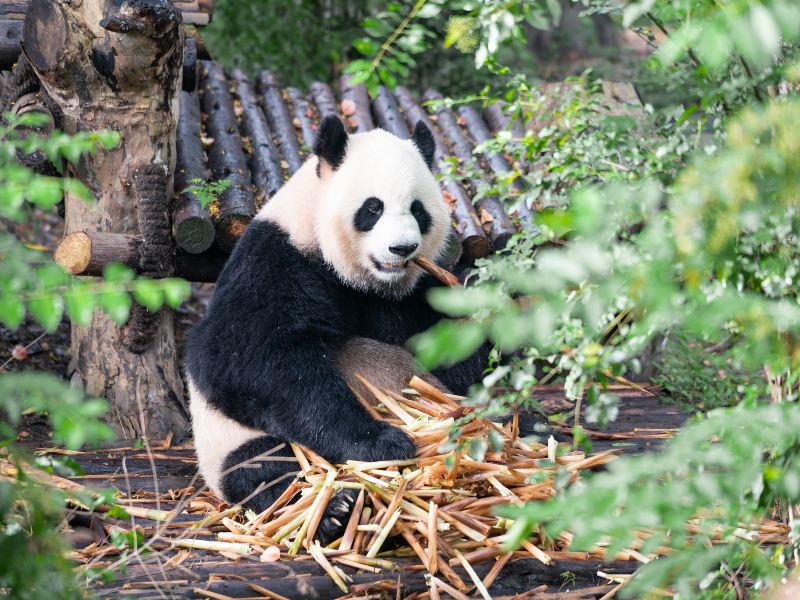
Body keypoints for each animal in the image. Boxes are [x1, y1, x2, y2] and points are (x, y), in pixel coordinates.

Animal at [188, 115, 488, 540]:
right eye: (373, 208)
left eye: (418, 210)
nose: (402, 249)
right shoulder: (277, 261)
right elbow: (243, 358)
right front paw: (382, 443)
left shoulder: (410, 293)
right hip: (227, 439)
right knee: (264, 467)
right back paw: (335, 509)